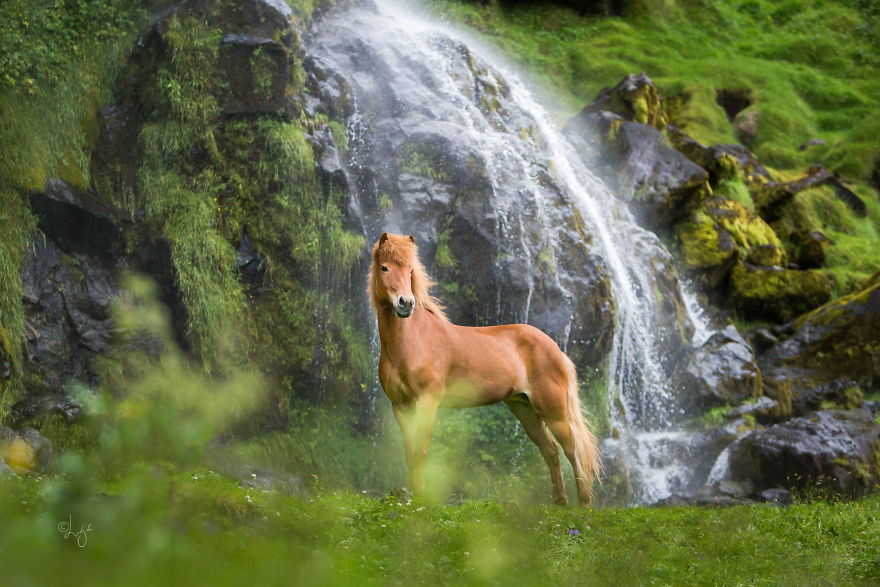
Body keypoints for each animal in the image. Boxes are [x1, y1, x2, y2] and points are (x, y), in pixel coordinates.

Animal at [368, 232, 601, 505]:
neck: (411, 342)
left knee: (572, 450)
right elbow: (410, 453)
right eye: (384, 268)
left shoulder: (427, 402)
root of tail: (555, 348)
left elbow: (421, 451)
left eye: (411, 270)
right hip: (524, 408)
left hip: (552, 410)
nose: (405, 303)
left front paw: (422, 499)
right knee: (550, 450)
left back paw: (582, 504)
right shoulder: (401, 407)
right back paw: (560, 503)